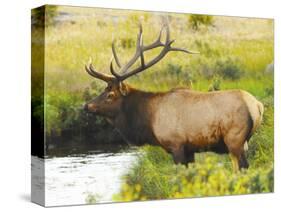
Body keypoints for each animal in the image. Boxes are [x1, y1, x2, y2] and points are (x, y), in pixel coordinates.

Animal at [83, 23, 262, 172]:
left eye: (110, 94)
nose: (86, 106)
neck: (148, 121)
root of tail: (258, 106)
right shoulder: (190, 150)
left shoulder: (176, 145)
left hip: (235, 139)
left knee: (243, 167)